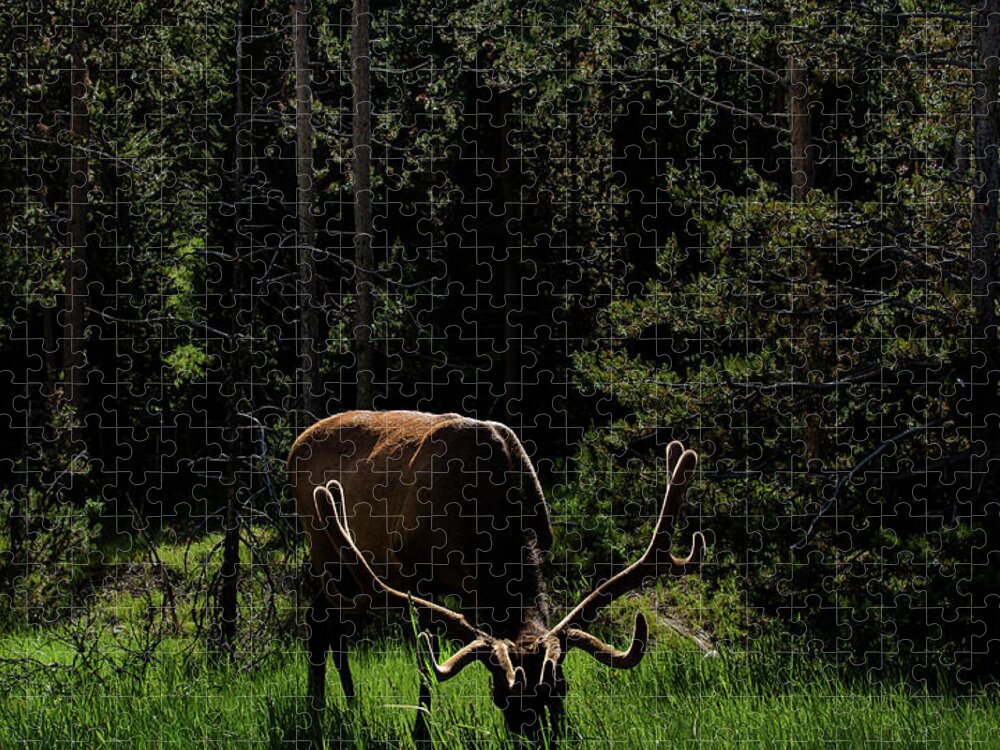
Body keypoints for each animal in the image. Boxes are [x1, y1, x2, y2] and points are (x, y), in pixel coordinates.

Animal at [288, 410, 705, 743]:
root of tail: (296, 443)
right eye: (500, 695)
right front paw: (421, 733)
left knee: (333, 628)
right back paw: (315, 710)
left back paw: (348, 706)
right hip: (324, 548)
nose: (536, 740)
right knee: (318, 621)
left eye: (560, 689)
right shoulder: (417, 574)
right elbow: (426, 661)